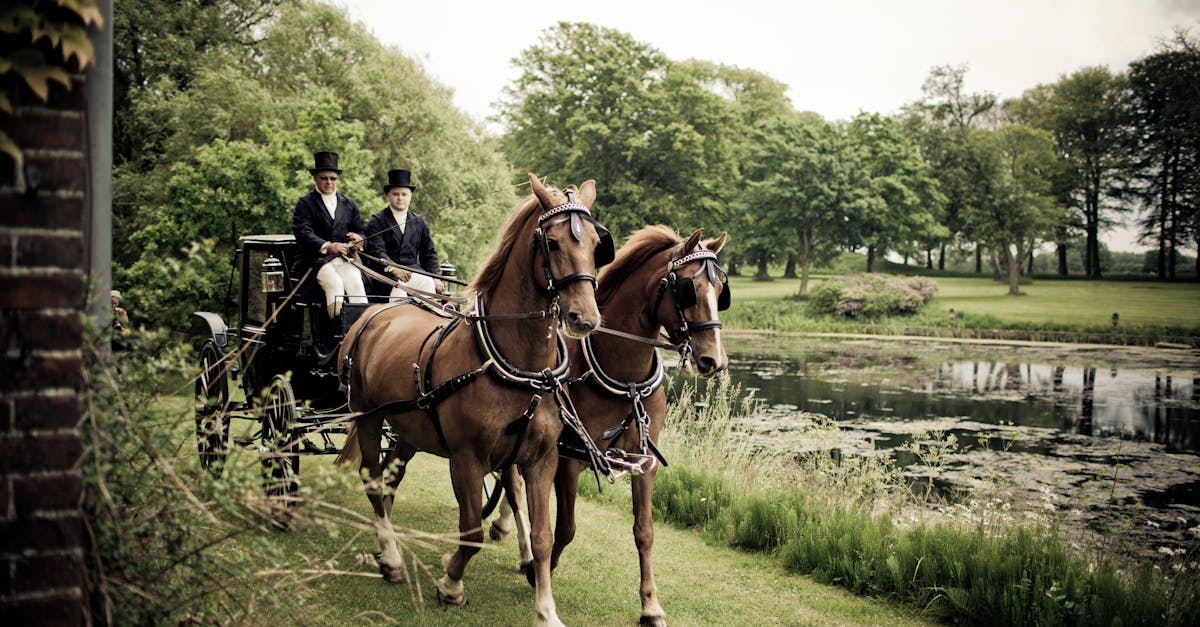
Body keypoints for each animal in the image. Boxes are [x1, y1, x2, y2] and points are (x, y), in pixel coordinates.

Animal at [336, 172, 609, 619]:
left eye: (596, 244)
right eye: (552, 242)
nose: (584, 317)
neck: (521, 367)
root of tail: (377, 312)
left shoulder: (540, 460)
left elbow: (542, 535)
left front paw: (546, 610)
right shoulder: (468, 458)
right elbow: (471, 531)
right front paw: (450, 582)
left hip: (410, 429)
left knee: (391, 479)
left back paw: (384, 542)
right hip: (368, 415)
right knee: (374, 480)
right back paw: (391, 554)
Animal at [489, 224, 729, 624]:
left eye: (721, 291)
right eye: (688, 288)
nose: (714, 359)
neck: (624, 376)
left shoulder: (644, 462)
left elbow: (644, 531)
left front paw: (650, 604)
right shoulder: (569, 459)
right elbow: (565, 528)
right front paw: (540, 572)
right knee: (513, 484)